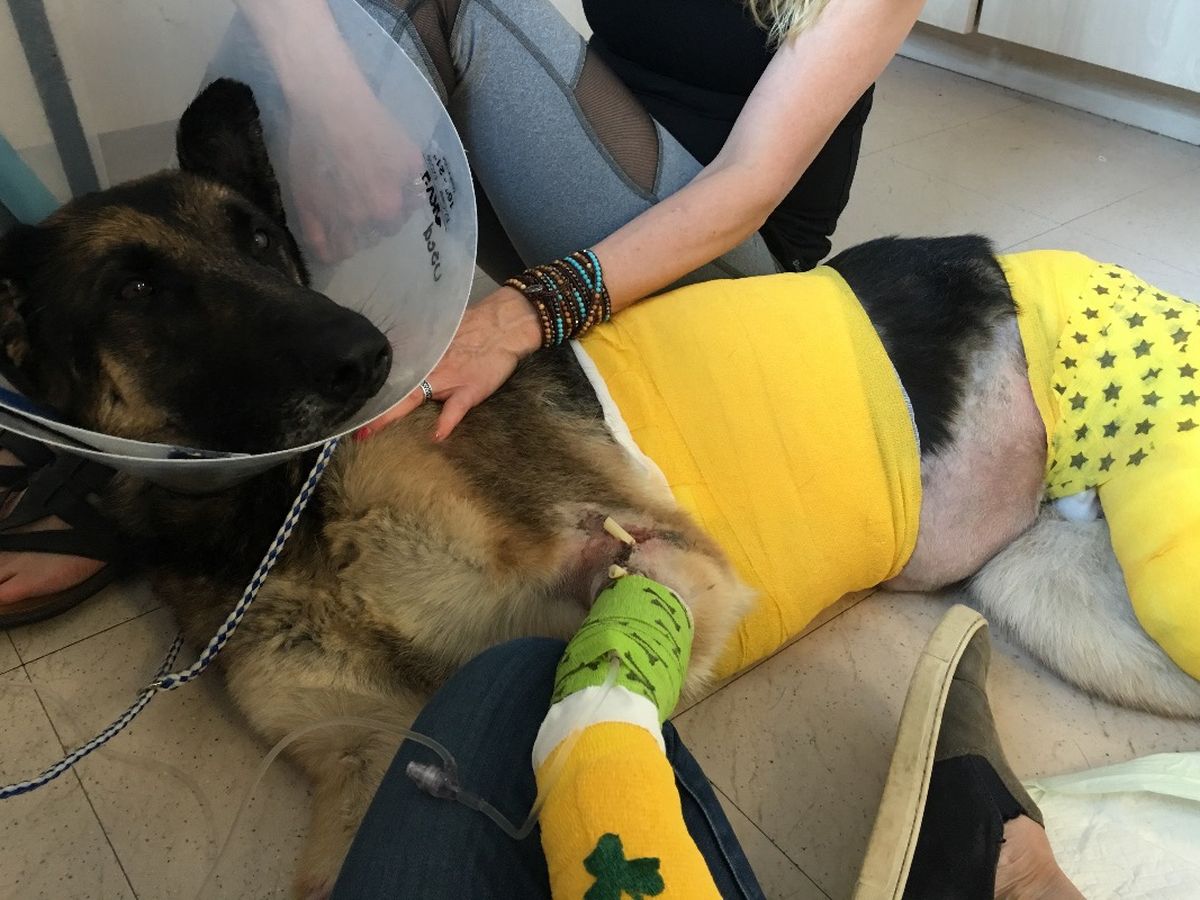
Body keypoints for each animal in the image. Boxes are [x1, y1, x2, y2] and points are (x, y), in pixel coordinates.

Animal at [1, 79, 1197, 896]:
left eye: (259, 240)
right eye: (135, 289)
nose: (370, 359)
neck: (283, 519)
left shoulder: (652, 570)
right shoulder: (366, 755)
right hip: (1066, 606)